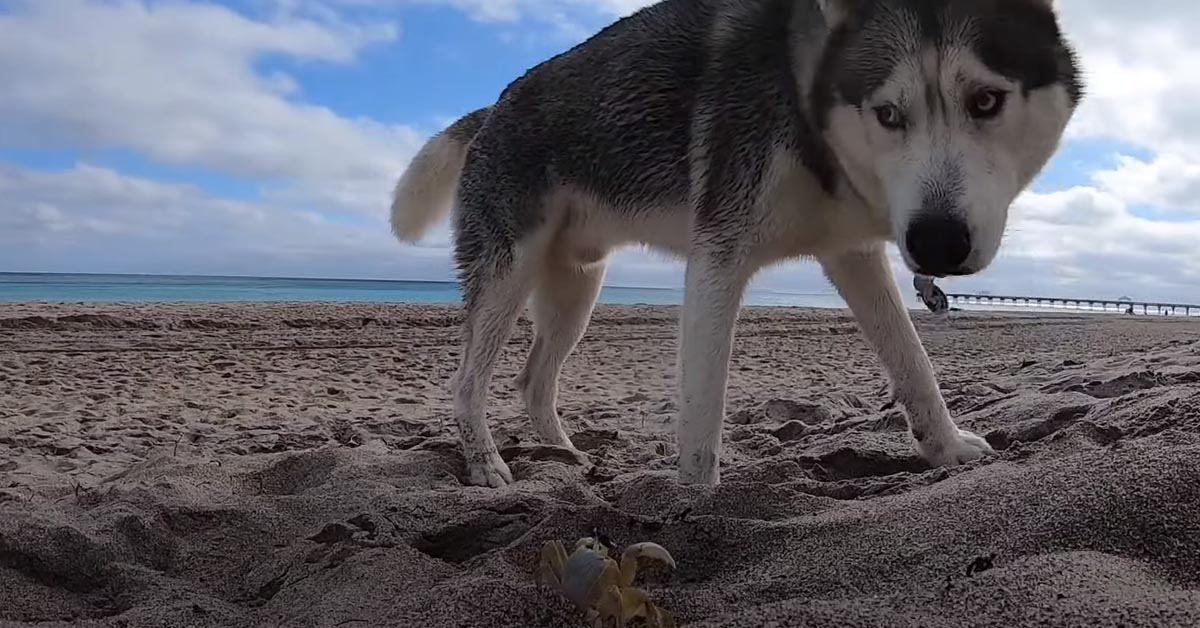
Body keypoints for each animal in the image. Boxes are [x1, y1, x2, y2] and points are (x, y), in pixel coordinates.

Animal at [388, 0, 1084, 489]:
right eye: (889, 114)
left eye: (986, 101)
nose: (937, 244)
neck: (805, 93)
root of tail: (492, 107)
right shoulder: (718, 257)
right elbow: (701, 423)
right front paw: (694, 516)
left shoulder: (852, 255)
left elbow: (914, 364)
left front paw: (947, 449)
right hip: (508, 275)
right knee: (467, 383)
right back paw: (487, 466)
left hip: (576, 292)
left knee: (533, 380)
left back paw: (561, 456)